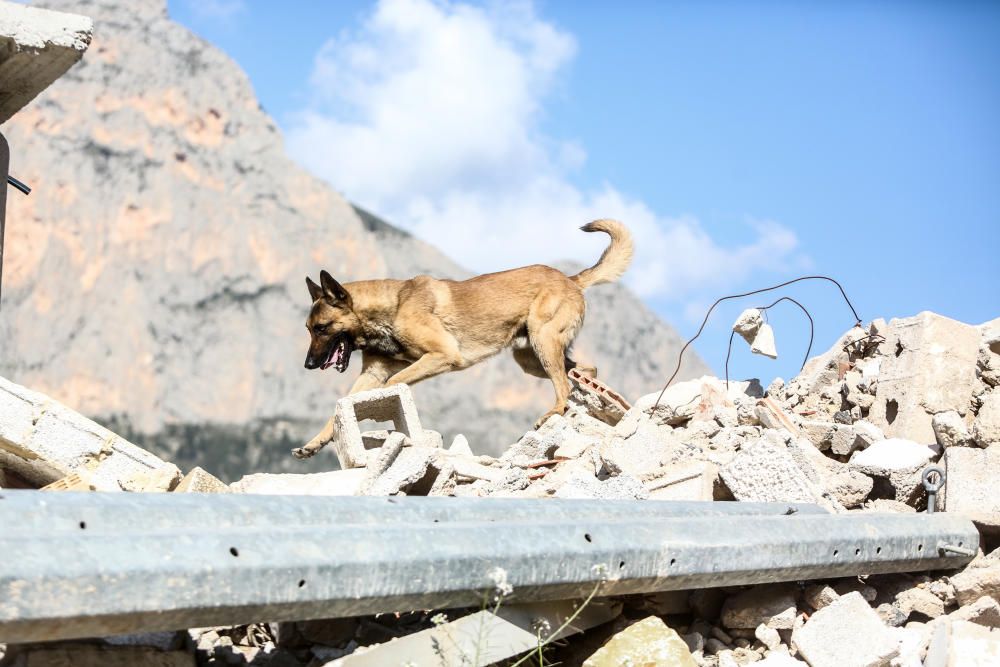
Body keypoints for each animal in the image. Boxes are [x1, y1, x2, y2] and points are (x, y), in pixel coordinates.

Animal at [292, 219, 632, 460]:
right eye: (308, 329)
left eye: (321, 328)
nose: (308, 365)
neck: (392, 306)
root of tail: (570, 279)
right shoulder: (372, 373)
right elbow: (340, 407)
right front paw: (314, 443)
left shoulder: (441, 356)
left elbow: (393, 384)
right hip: (530, 357)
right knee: (582, 371)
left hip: (543, 341)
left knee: (563, 385)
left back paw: (555, 412)